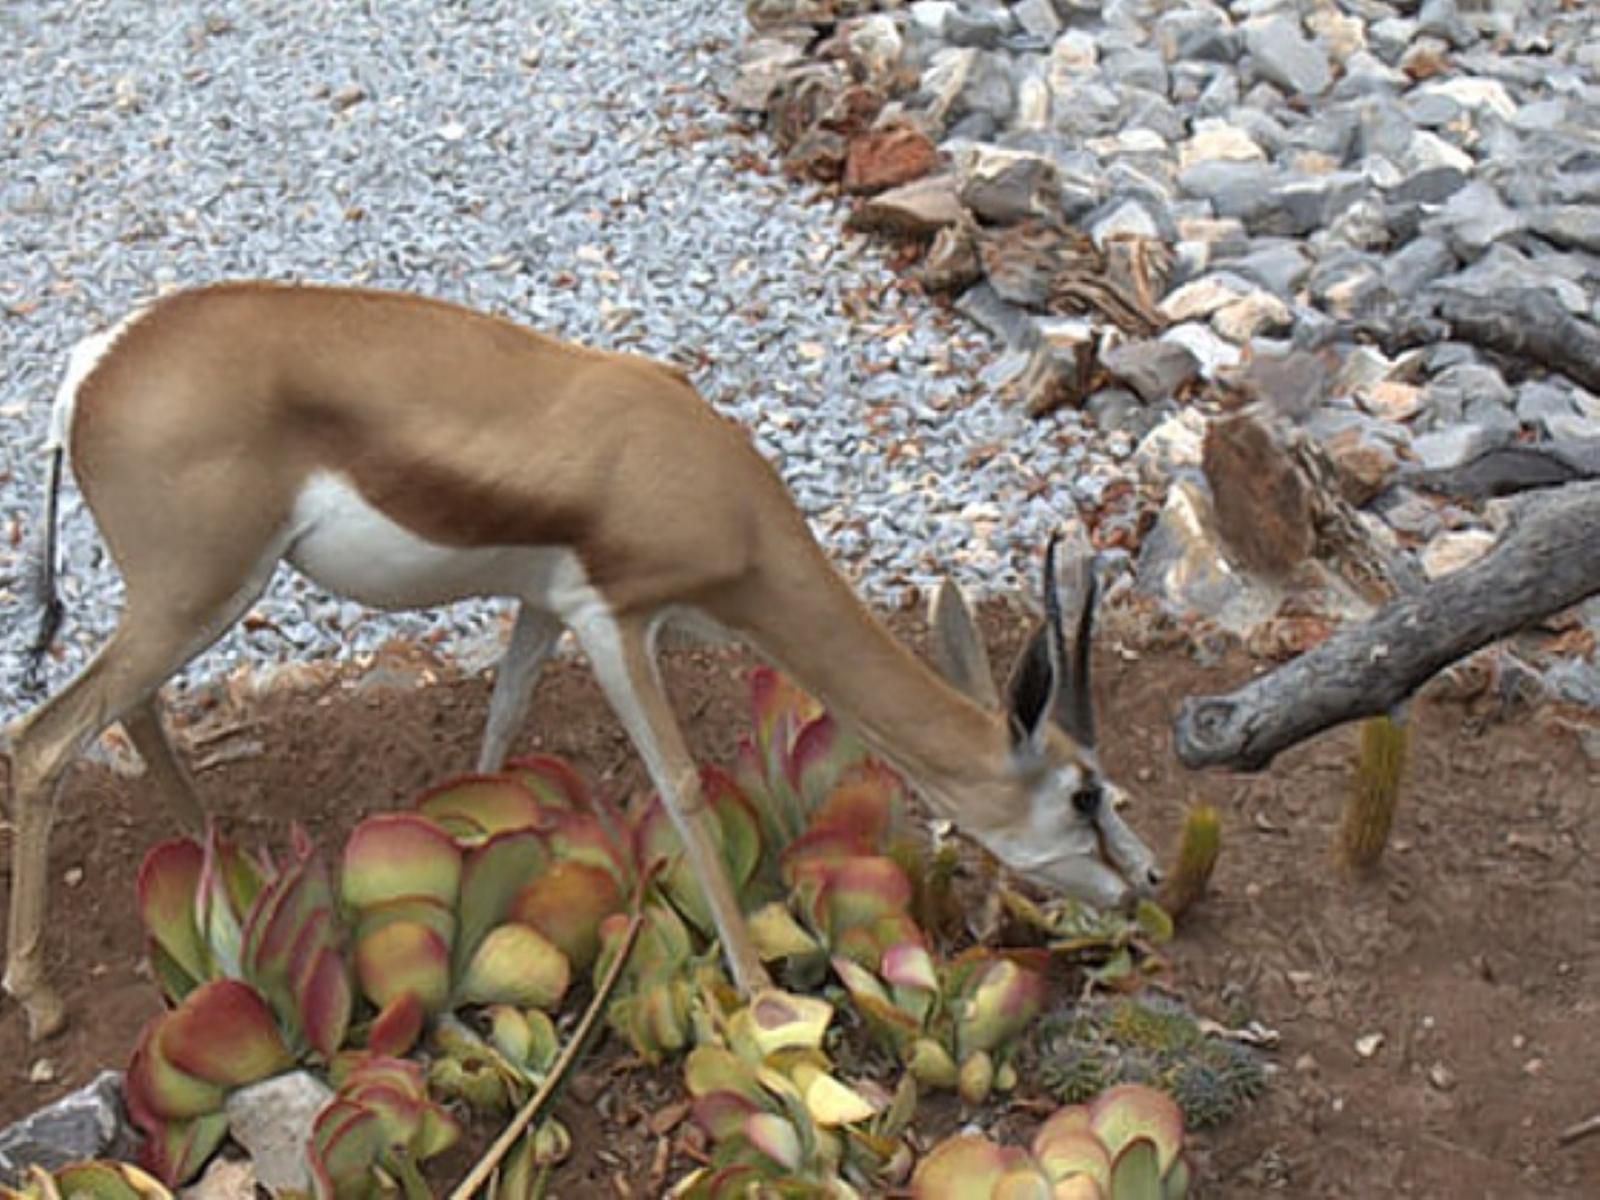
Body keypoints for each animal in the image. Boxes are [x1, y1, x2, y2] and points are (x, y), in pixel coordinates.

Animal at [3, 281, 1164, 1043]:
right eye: (1084, 792)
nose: (1148, 876)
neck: (717, 490)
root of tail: (94, 366)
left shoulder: (539, 605)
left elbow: (504, 716)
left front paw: (462, 836)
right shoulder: (618, 623)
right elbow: (683, 786)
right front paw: (762, 993)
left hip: (191, 600)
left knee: (130, 708)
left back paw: (212, 849)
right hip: (202, 592)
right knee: (43, 739)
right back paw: (43, 998)